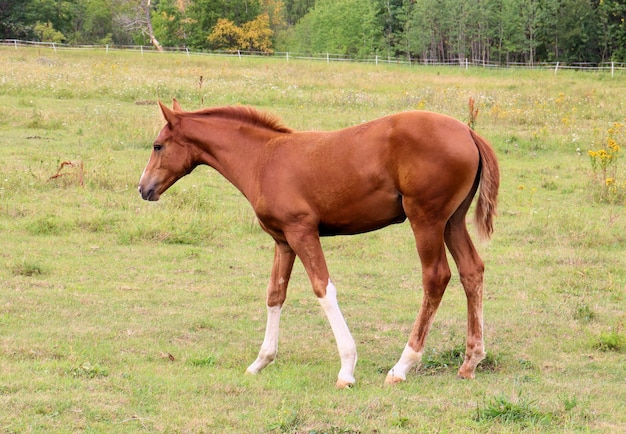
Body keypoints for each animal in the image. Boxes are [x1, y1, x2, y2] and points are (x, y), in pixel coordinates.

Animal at [138, 100, 498, 388]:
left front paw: (347, 369)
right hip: (452, 221)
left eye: (158, 146)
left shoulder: (302, 232)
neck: (263, 158)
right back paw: (470, 361)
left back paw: (402, 366)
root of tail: (468, 133)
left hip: (426, 218)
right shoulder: (283, 240)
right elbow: (275, 294)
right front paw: (260, 361)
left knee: (436, 277)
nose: (143, 188)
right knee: (472, 271)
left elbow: (323, 289)